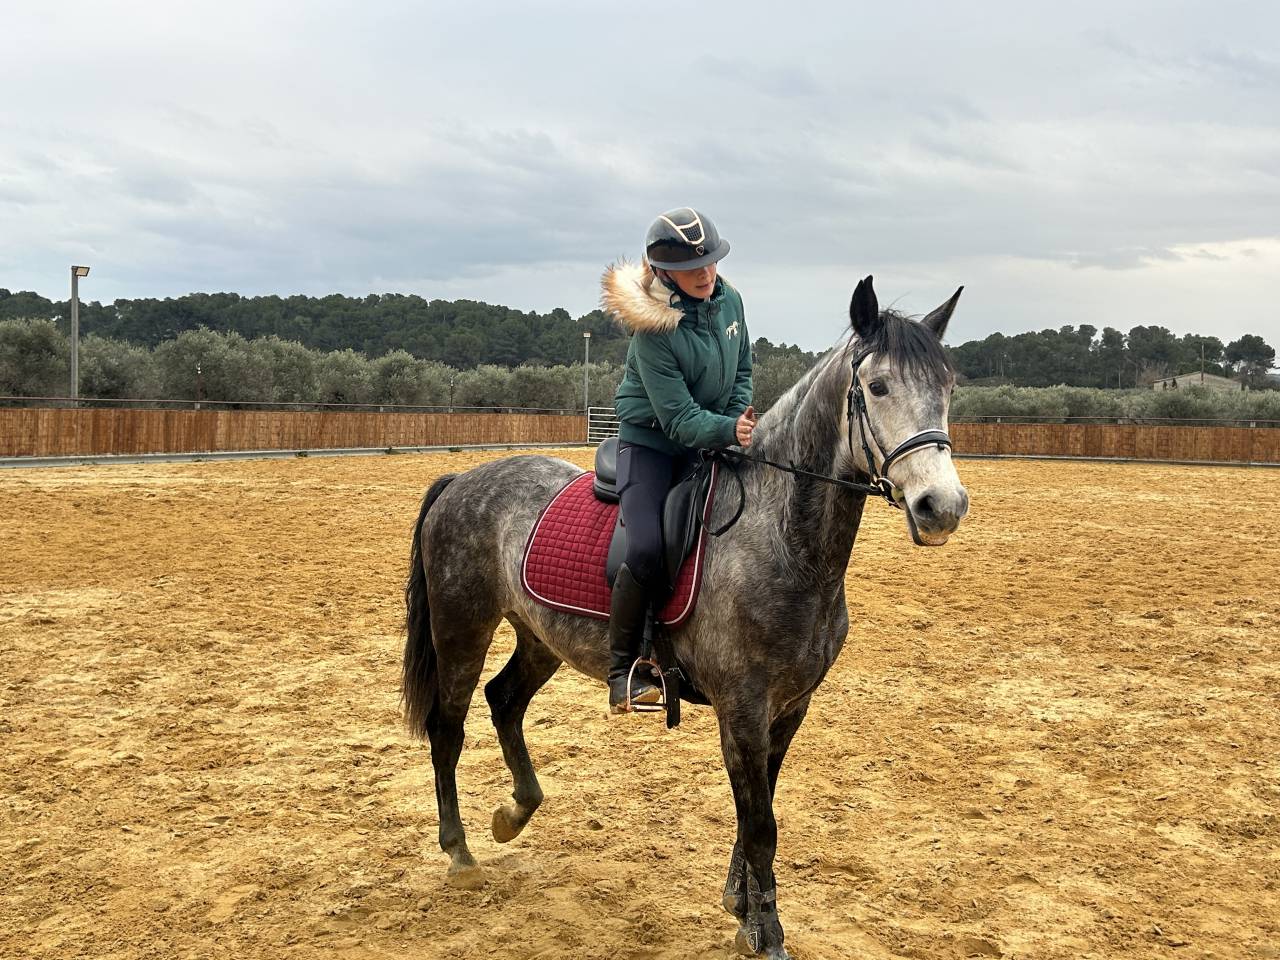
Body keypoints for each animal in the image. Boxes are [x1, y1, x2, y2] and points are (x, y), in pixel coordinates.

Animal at [402, 276, 968, 959]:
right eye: (878, 386)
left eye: (948, 387)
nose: (942, 506)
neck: (783, 541)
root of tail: (463, 479)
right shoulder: (742, 708)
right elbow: (761, 824)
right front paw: (767, 932)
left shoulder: (790, 707)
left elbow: (760, 809)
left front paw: (743, 908)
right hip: (462, 627)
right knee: (449, 728)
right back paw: (459, 851)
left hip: (541, 636)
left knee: (505, 701)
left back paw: (515, 813)